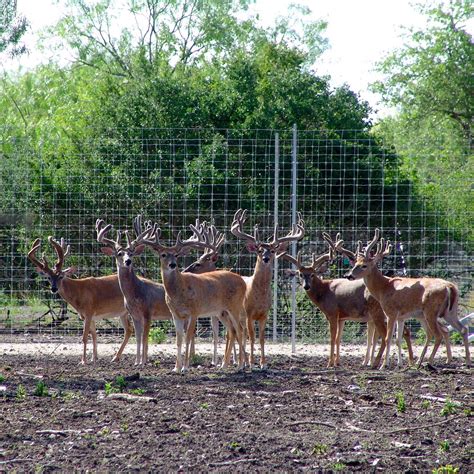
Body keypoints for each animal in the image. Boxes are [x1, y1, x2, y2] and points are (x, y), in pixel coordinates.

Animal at [135, 216, 248, 374]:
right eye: (163, 255)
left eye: (176, 255)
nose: (172, 264)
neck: (179, 291)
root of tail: (243, 281)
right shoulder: (175, 314)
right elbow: (179, 339)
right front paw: (176, 367)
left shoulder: (194, 311)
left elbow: (188, 337)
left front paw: (185, 367)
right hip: (221, 311)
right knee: (232, 331)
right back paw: (225, 365)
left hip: (235, 306)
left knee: (240, 330)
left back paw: (241, 365)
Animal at [231, 208, 306, 370]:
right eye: (259, 250)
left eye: (272, 250)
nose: (265, 258)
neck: (258, 297)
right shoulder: (249, 313)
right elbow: (252, 338)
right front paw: (252, 363)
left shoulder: (264, 314)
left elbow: (261, 338)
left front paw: (263, 363)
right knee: (235, 333)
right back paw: (239, 361)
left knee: (240, 333)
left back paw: (242, 361)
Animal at [284, 231, 412, 368]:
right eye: (300, 274)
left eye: (313, 274)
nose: (306, 286)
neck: (324, 291)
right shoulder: (342, 317)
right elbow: (338, 338)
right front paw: (337, 362)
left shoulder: (332, 313)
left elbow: (332, 338)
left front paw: (330, 363)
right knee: (402, 332)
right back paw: (405, 362)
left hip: (378, 312)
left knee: (385, 336)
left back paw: (377, 363)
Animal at [336, 230, 470, 370]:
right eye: (355, 264)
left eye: (364, 265)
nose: (348, 275)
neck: (384, 288)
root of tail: (450, 287)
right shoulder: (401, 317)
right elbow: (398, 339)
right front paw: (398, 365)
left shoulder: (391, 312)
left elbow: (387, 338)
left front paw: (383, 365)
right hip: (449, 312)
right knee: (462, 329)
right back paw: (465, 362)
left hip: (431, 311)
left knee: (438, 334)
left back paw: (429, 362)